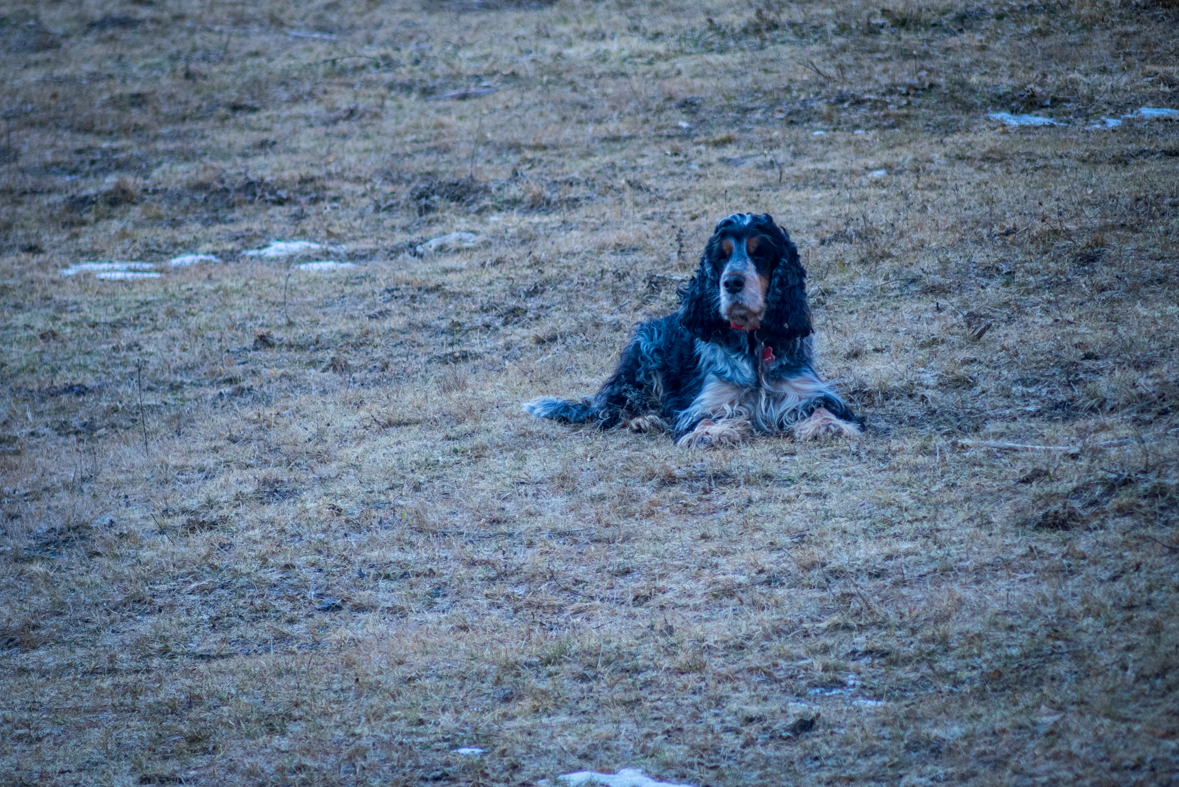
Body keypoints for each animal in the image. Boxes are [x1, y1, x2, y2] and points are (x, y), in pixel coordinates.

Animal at [521, 213, 863, 447]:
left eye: (760, 252)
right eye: (721, 256)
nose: (732, 282)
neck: (753, 342)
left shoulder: (806, 390)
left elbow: (822, 408)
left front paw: (827, 426)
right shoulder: (707, 398)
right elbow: (705, 416)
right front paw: (711, 433)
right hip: (644, 354)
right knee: (612, 408)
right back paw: (645, 419)